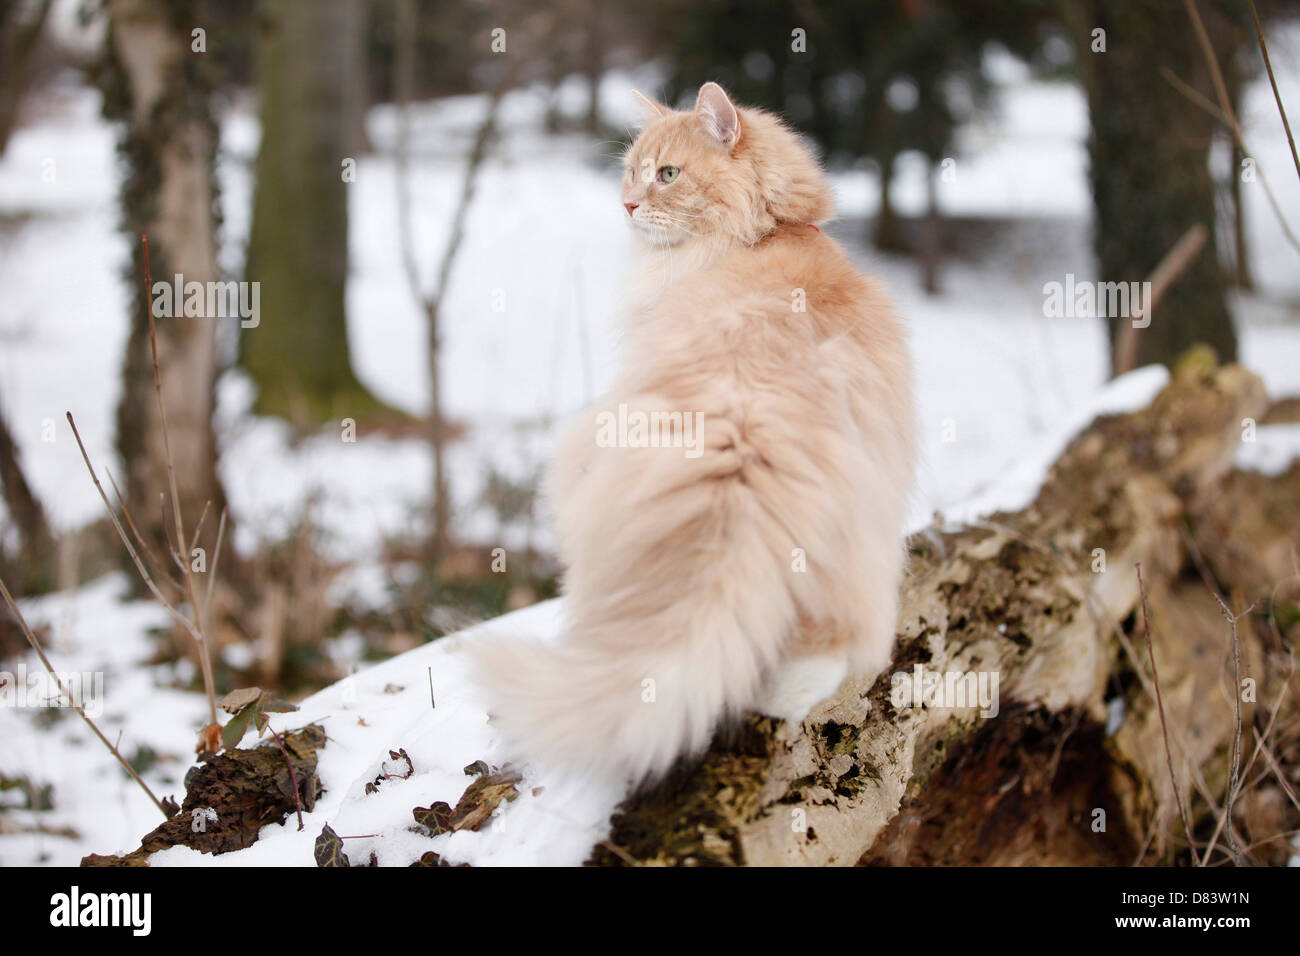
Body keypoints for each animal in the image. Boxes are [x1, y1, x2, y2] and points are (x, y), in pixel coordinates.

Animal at [475, 80, 915, 785]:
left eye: (668, 175)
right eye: (631, 172)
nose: (626, 204)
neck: (765, 234)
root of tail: (743, 445)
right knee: (828, 646)